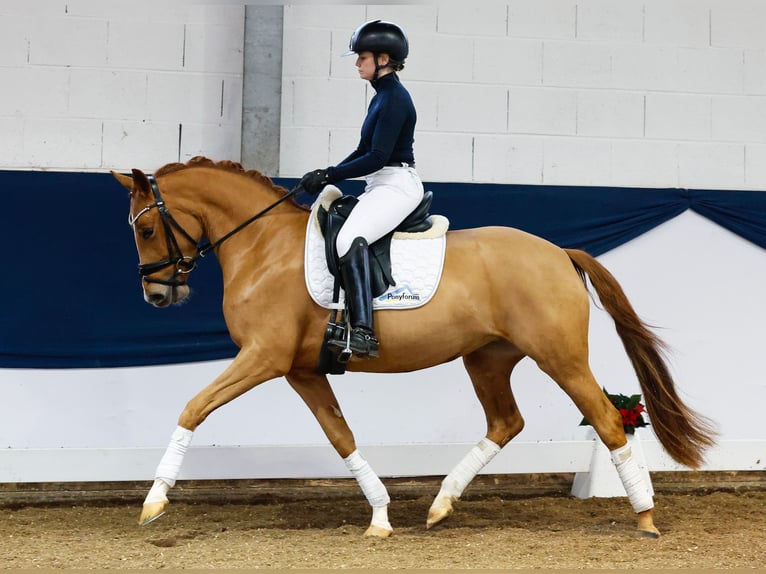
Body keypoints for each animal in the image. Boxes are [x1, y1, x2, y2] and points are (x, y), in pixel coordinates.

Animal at [111, 156, 716, 540]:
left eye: (145, 231)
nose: (157, 295)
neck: (263, 246)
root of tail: (559, 252)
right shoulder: (301, 370)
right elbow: (340, 435)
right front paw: (380, 516)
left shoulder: (263, 357)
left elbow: (193, 408)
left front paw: (153, 502)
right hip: (487, 357)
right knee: (506, 422)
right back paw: (441, 504)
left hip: (559, 357)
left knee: (608, 420)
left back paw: (645, 518)